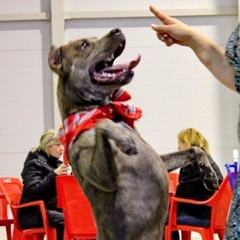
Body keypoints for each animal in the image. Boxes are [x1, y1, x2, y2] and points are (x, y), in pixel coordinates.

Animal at [47, 28, 218, 240]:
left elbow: (195, 149)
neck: (105, 110)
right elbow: (103, 124)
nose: (117, 30)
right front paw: (124, 139)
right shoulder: (101, 177)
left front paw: (209, 173)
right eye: (84, 45)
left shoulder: (162, 160)